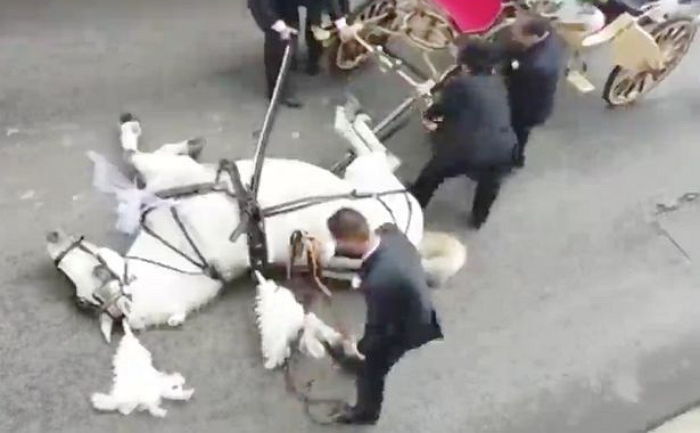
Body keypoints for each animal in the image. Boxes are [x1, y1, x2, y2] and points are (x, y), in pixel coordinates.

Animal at [45, 106, 464, 346]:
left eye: (96, 272)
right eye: (82, 298)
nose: (51, 238)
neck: (184, 247)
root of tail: (411, 239)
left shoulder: (165, 171)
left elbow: (139, 153)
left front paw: (167, 139)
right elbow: (143, 153)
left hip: (367, 177)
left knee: (380, 152)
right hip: (368, 176)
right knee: (381, 154)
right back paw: (351, 120)